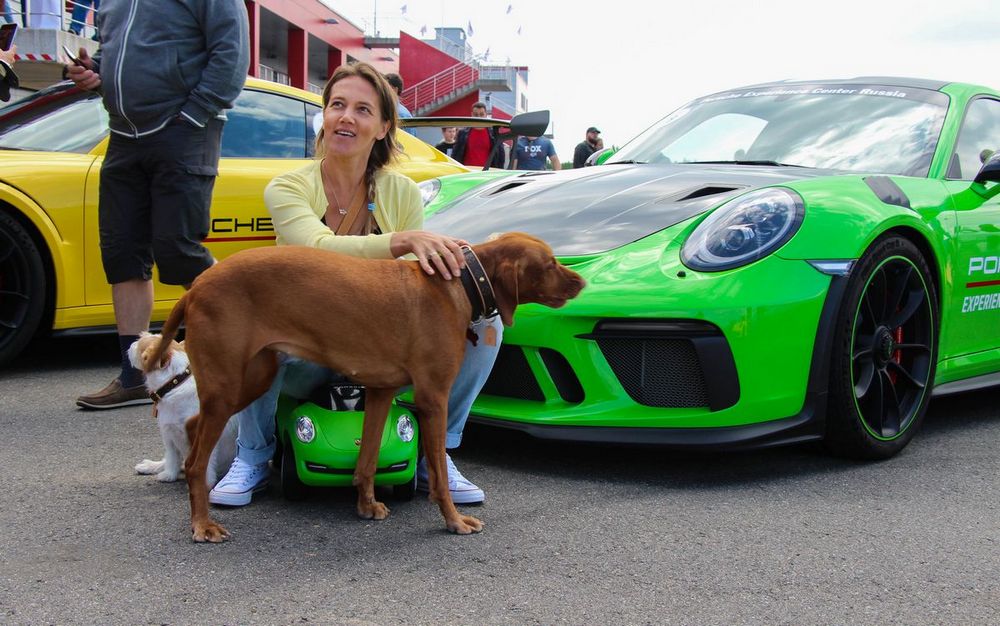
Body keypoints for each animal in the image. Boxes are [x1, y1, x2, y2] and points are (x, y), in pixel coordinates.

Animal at [129, 333, 237, 487]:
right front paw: (169, 475)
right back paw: (152, 466)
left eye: (141, 348)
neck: (174, 384)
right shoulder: (169, 434)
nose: (131, 344)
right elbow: (171, 458)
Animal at [143, 232, 585, 542]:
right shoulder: (433, 398)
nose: (581, 281)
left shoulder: (380, 392)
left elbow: (367, 458)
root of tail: (196, 287)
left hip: (248, 380)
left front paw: (367, 505)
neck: (458, 283)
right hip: (229, 385)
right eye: (549, 263)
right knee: (194, 461)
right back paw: (202, 525)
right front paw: (454, 521)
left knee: (193, 426)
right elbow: (439, 473)